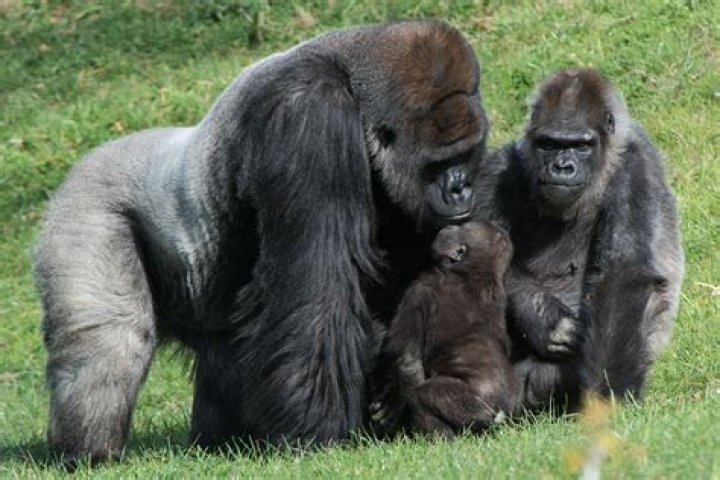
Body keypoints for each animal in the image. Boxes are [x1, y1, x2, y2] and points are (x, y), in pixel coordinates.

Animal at [33, 20, 489, 465]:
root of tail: (77, 168)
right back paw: (87, 453)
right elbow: (318, 296)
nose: (460, 189)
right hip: (84, 208)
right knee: (109, 343)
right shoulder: (308, 118)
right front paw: (315, 433)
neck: (355, 88)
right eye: (438, 164)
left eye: (466, 155)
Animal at [370, 222, 517, 437]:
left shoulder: (419, 291)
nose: (448, 227)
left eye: (461, 228)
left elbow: (407, 361)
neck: (475, 274)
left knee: (424, 394)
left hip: (475, 403)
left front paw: (394, 407)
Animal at [472, 68, 683, 412]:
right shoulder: (495, 170)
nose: (562, 167)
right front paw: (541, 315)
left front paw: (607, 396)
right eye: (549, 144)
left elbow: (622, 275)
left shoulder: (636, 163)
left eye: (582, 145)